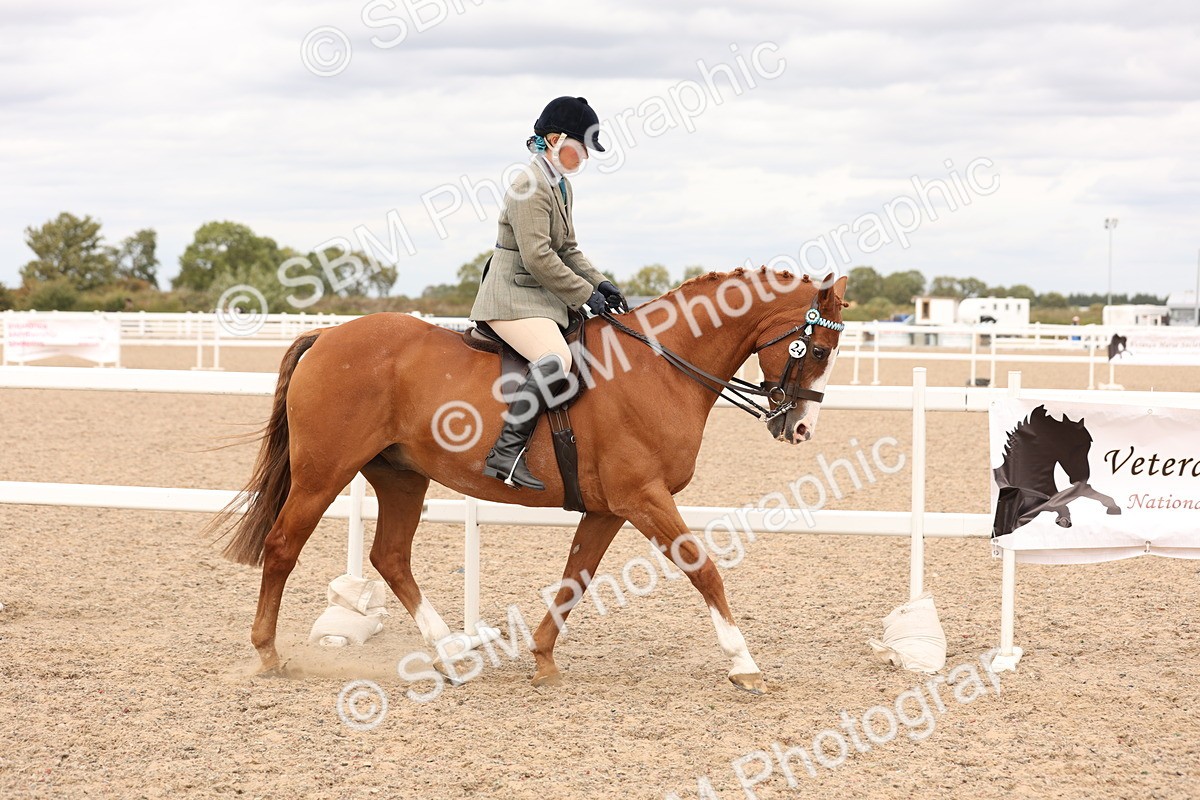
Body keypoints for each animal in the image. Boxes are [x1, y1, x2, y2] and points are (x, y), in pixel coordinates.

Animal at [212, 267, 848, 694]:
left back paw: (450, 654)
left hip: (399, 477)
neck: (659, 367)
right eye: (817, 348)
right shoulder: (643, 498)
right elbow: (704, 569)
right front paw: (745, 664)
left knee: (391, 556)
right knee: (283, 546)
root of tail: (327, 335)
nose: (800, 428)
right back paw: (268, 655)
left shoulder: (610, 507)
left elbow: (575, 579)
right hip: (324, 472)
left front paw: (542, 658)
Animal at [992, 404, 1121, 537]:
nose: (1082, 477)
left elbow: (1081, 493)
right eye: (1077, 445)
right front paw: (1064, 520)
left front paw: (1113, 507)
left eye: (1089, 445)